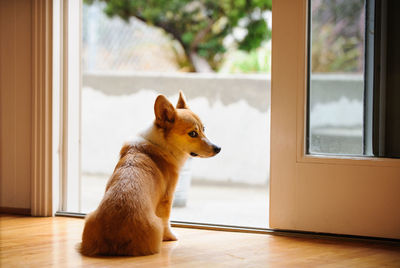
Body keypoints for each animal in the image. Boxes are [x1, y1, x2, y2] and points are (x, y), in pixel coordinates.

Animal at [79, 92, 220, 258]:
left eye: (204, 129)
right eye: (193, 133)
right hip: (156, 223)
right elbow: (167, 221)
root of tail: (114, 238)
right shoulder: (167, 198)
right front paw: (171, 237)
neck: (163, 143)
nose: (218, 148)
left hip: (89, 216)